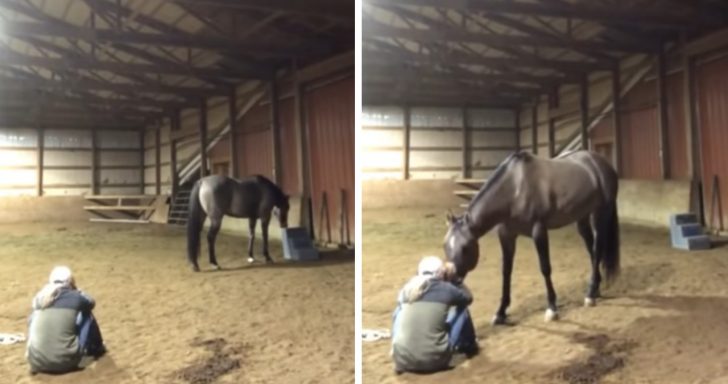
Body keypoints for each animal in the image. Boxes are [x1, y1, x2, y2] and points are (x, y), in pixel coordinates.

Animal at [444, 150, 620, 324]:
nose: (449, 279)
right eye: (445, 246)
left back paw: (590, 295)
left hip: (600, 212)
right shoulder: (506, 235)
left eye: (465, 247)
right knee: (591, 249)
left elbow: (545, 268)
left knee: (597, 249)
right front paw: (501, 312)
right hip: (581, 217)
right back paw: (595, 289)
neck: (514, 189)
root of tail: (601, 163)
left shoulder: (539, 231)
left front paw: (552, 308)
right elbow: (506, 271)